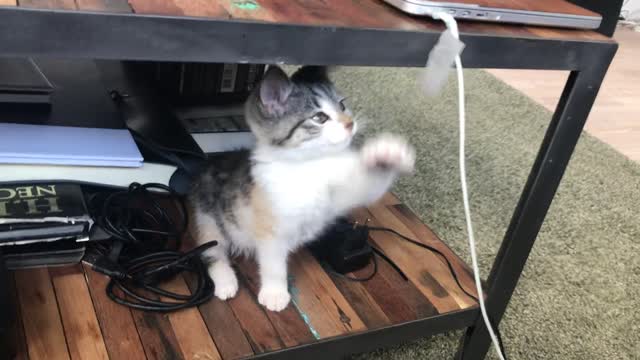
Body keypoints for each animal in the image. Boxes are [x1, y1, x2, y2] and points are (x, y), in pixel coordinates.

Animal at [189, 65, 416, 312]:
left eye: (342, 105)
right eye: (319, 117)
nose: (349, 124)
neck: (310, 165)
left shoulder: (342, 191)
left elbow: (368, 187)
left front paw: (387, 154)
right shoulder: (270, 227)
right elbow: (273, 264)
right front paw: (275, 293)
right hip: (209, 219)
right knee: (211, 250)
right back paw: (226, 282)